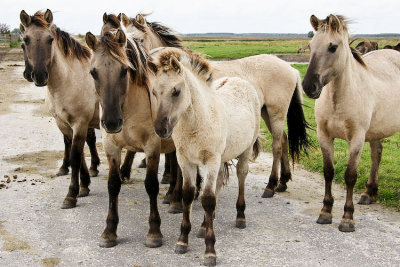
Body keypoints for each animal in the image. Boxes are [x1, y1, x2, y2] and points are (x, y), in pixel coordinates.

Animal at [86, 29, 184, 249]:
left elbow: (151, 185)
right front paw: (109, 231)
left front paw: (154, 232)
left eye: (124, 70)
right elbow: (113, 185)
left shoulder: (152, 147)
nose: (111, 122)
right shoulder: (111, 148)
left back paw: (177, 201)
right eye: (93, 73)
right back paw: (172, 196)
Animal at [122, 13, 312, 200]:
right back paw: (283, 181)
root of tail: (290, 68)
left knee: (277, 145)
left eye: (139, 39)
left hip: (276, 113)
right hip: (266, 113)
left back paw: (271, 186)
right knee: (284, 140)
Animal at [148, 47, 260, 266]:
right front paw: (182, 240)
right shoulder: (186, 161)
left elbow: (207, 199)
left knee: (241, 175)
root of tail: (240, 81)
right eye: (154, 92)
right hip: (221, 157)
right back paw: (203, 225)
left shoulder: (210, 160)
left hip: (245, 150)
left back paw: (240, 217)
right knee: (218, 182)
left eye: (176, 91)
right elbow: (189, 195)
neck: (197, 121)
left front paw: (210, 251)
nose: (161, 130)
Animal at [304, 14, 400, 232]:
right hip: (376, 130)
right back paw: (369, 193)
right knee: (376, 154)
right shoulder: (324, 136)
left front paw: (347, 218)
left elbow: (350, 175)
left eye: (332, 47)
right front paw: (325, 212)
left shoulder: (356, 138)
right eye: (310, 45)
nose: (308, 86)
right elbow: (328, 172)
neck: (339, 98)